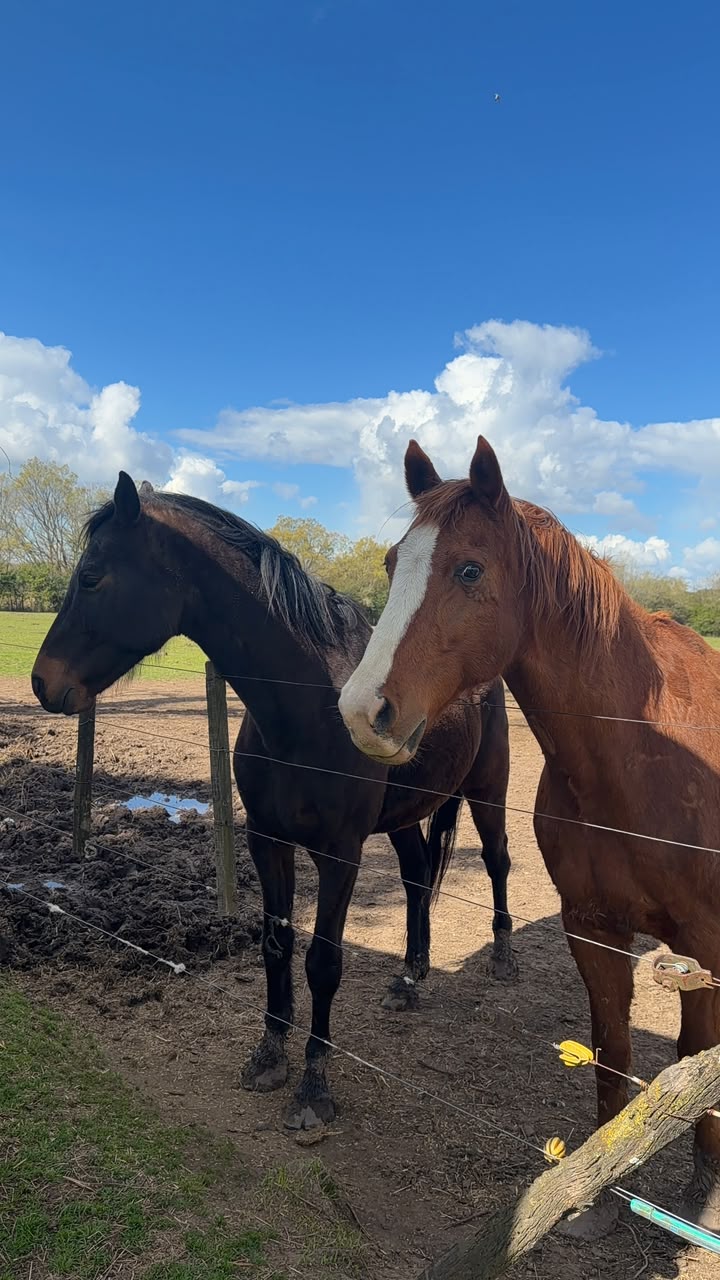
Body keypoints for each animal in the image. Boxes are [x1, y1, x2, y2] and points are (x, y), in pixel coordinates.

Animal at [31, 470, 514, 1131]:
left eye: (91, 577)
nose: (40, 682)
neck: (307, 708)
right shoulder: (268, 840)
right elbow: (276, 944)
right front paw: (268, 1054)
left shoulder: (339, 856)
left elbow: (323, 963)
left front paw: (313, 1088)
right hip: (403, 818)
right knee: (418, 877)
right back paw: (409, 977)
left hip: (489, 794)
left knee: (496, 862)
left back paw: (503, 956)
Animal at [339, 435, 720, 1235]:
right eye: (392, 563)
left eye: (469, 569)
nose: (362, 711)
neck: (639, 755)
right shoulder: (593, 928)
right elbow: (613, 1048)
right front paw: (599, 1190)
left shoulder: (704, 942)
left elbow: (695, 1056)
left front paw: (703, 1183)